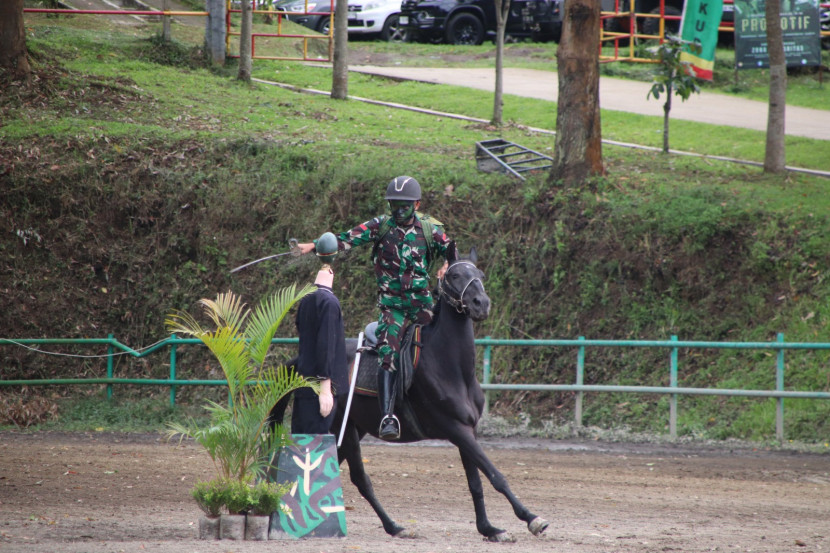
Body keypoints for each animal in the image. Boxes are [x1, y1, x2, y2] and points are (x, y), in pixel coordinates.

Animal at [270, 245, 548, 540]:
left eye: (480, 275)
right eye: (455, 275)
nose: (480, 304)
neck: (451, 367)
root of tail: (302, 364)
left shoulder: (467, 431)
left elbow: (476, 483)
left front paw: (489, 528)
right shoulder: (456, 429)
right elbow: (495, 475)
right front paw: (531, 518)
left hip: (349, 431)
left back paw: (390, 526)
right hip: (335, 429)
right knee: (352, 477)